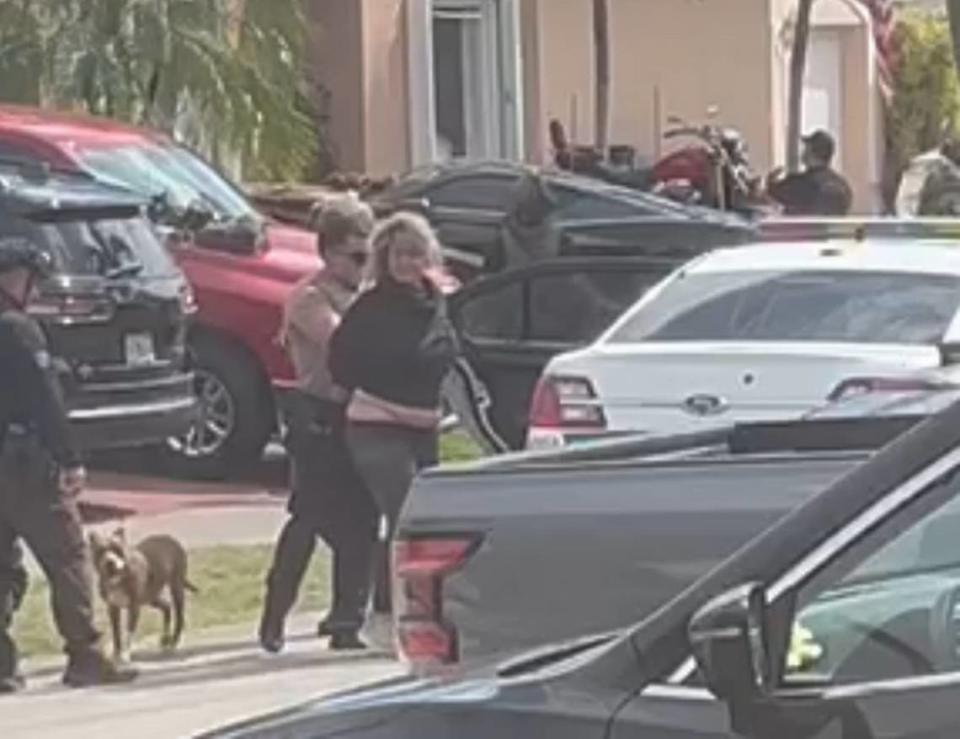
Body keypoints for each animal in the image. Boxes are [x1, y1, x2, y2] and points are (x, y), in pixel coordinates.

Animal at [87, 528, 197, 660]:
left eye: (117, 549)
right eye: (100, 551)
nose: (110, 562)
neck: (118, 579)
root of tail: (169, 538)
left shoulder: (134, 607)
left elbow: (129, 631)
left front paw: (126, 654)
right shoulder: (112, 608)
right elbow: (116, 632)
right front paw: (116, 653)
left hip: (176, 587)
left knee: (179, 616)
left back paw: (173, 641)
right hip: (151, 596)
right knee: (166, 606)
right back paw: (165, 639)